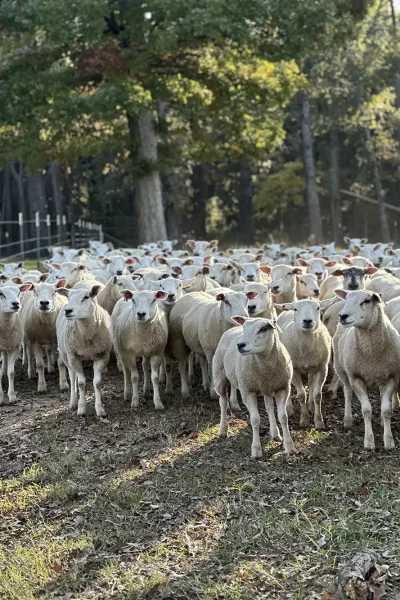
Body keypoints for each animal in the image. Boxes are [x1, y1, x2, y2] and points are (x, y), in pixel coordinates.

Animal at [56, 282, 112, 414]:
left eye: (86, 297)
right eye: (68, 297)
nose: (68, 310)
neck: (87, 337)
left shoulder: (102, 355)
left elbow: (97, 382)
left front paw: (100, 409)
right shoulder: (74, 356)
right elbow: (81, 383)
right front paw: (81, 408)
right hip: (66, 355)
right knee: (72, 377)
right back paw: (73, 402)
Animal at [214, 316, 296, 458]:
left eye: (263, 329)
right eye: (245, 327)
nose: (240, 345)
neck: (265, 365)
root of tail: (233, 328)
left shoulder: (282, 388)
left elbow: (283, 417)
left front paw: (289, 446)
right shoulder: (248, 391)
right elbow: (255, 419)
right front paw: (256, 450)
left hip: (266, 388)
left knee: (269, 407)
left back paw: (275, 433)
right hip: (220, 375)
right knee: (223, 401)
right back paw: (223, 429)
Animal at [276, 298, 330, 428]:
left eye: (318, 308)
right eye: (296, 309)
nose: (307, 321)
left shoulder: (322, 367)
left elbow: (317, 395)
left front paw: (319, 421)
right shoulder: (294, 369)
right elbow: (301, 395)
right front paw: (304, 420)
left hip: (312, 367)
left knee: (311, 383)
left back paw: (311, 405)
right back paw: (289, 408)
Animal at [332, 288, 400, 448]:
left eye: (367, 301)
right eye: (347, 299)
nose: (342, 316)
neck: (371, 354)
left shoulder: (391, 377)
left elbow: (386, 410)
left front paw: (389, 441)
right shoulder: (356, 378)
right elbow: (367, 410)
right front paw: (369, 441)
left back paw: (380, 420)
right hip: (341, 369)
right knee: (347, 392)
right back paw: (348, 420)